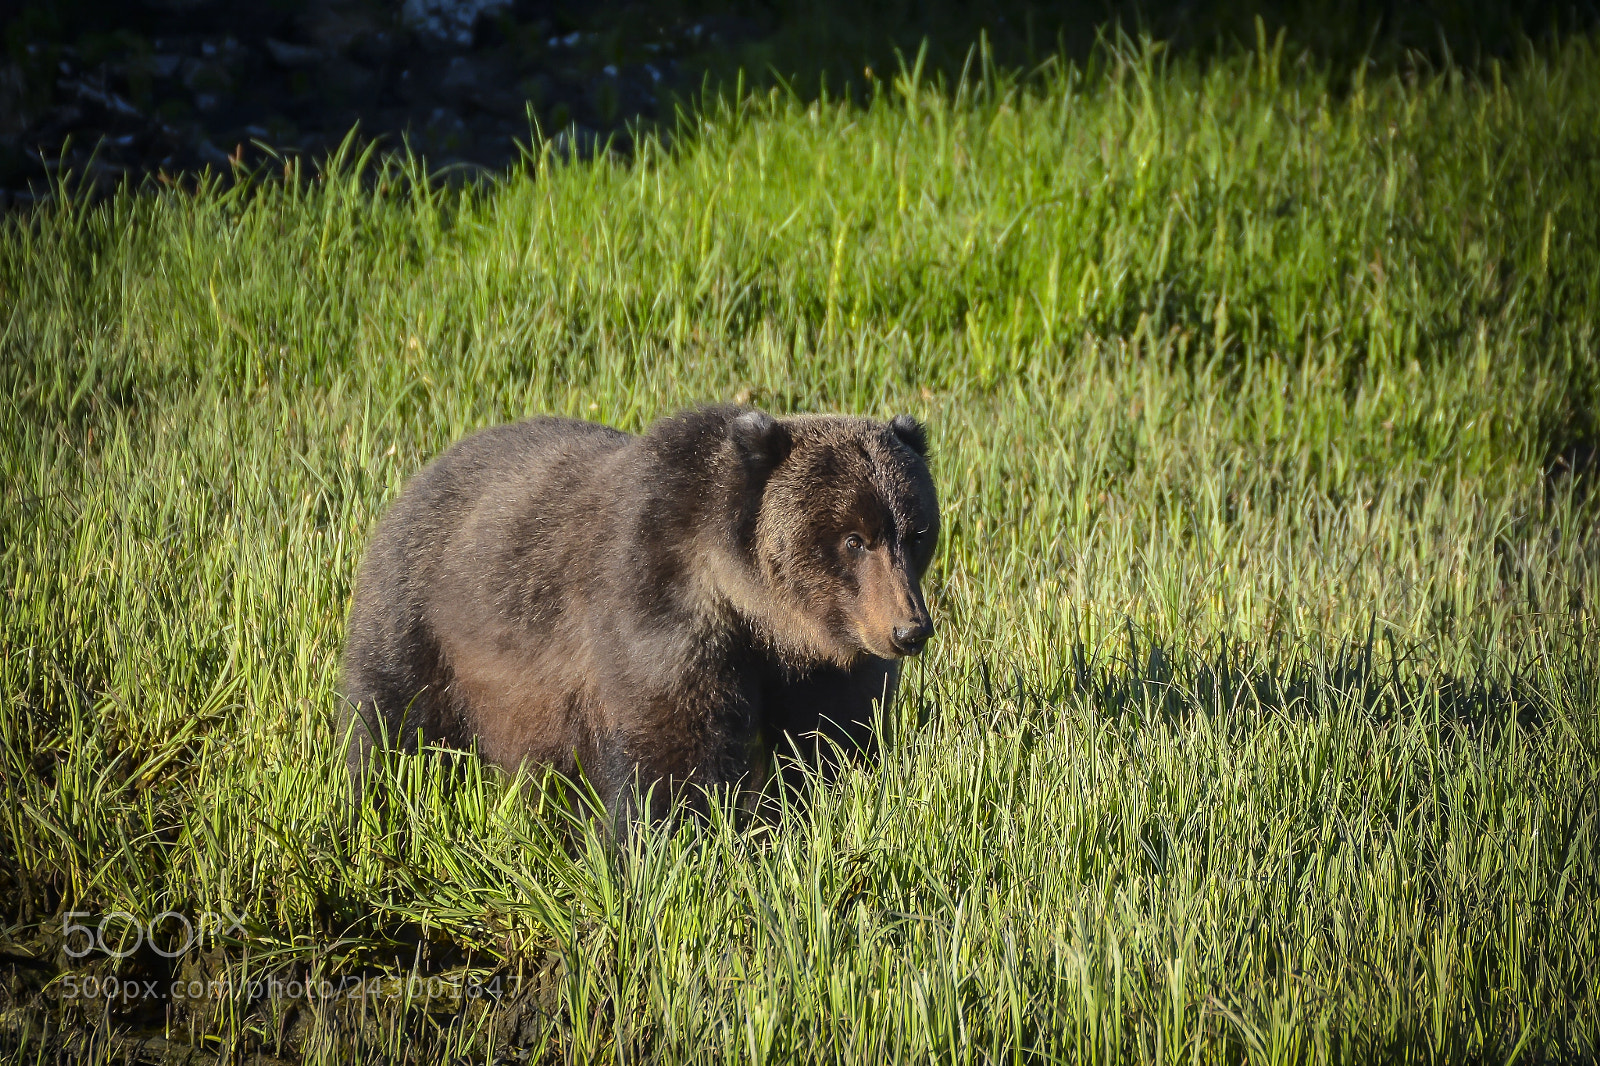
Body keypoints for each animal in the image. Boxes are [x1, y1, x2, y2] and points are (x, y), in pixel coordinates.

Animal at [340, 404, 940, 822]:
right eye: (853, 539)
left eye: (916, 532)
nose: (909, 630)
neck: (762, 617)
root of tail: (429, 467)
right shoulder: (660, 611)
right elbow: (673, 757)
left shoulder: (822, 664)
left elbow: (832, 741)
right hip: (425, 608)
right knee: (392, 715)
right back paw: (372, 797)